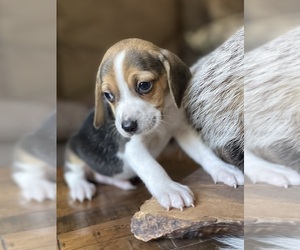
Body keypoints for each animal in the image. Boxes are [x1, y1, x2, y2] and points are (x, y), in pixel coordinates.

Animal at [65, 37, 244, 209]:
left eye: (144, 85)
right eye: (108, 95)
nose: (128, 127)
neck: (161, 121)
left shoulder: (182, 131)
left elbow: (204, 152)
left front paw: (224, 169)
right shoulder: (132, 147)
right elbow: (152, 168)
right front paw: (170, 190)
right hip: (73, 150)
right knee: (73, 172)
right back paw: (81, 187)